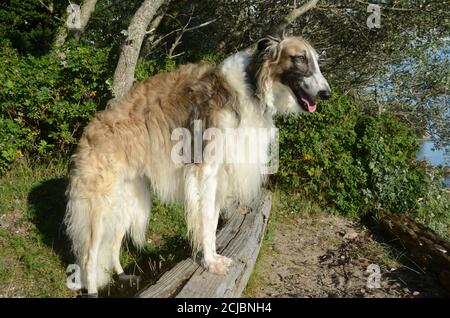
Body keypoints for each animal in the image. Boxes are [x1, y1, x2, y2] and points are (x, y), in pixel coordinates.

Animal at [63, 34, 330, 296]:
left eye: (317, 60)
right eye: (300, 58)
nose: (326, 93)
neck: (251, 86)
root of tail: (90, 131)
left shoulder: (219, 178)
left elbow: (211, 224)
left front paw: (214, 258)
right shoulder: (205, 173)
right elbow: (206, 221)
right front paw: (211, 262)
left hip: (128, 202)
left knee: (112, 246)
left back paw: (122, 276)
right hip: (100, 209)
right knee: (89, 257)